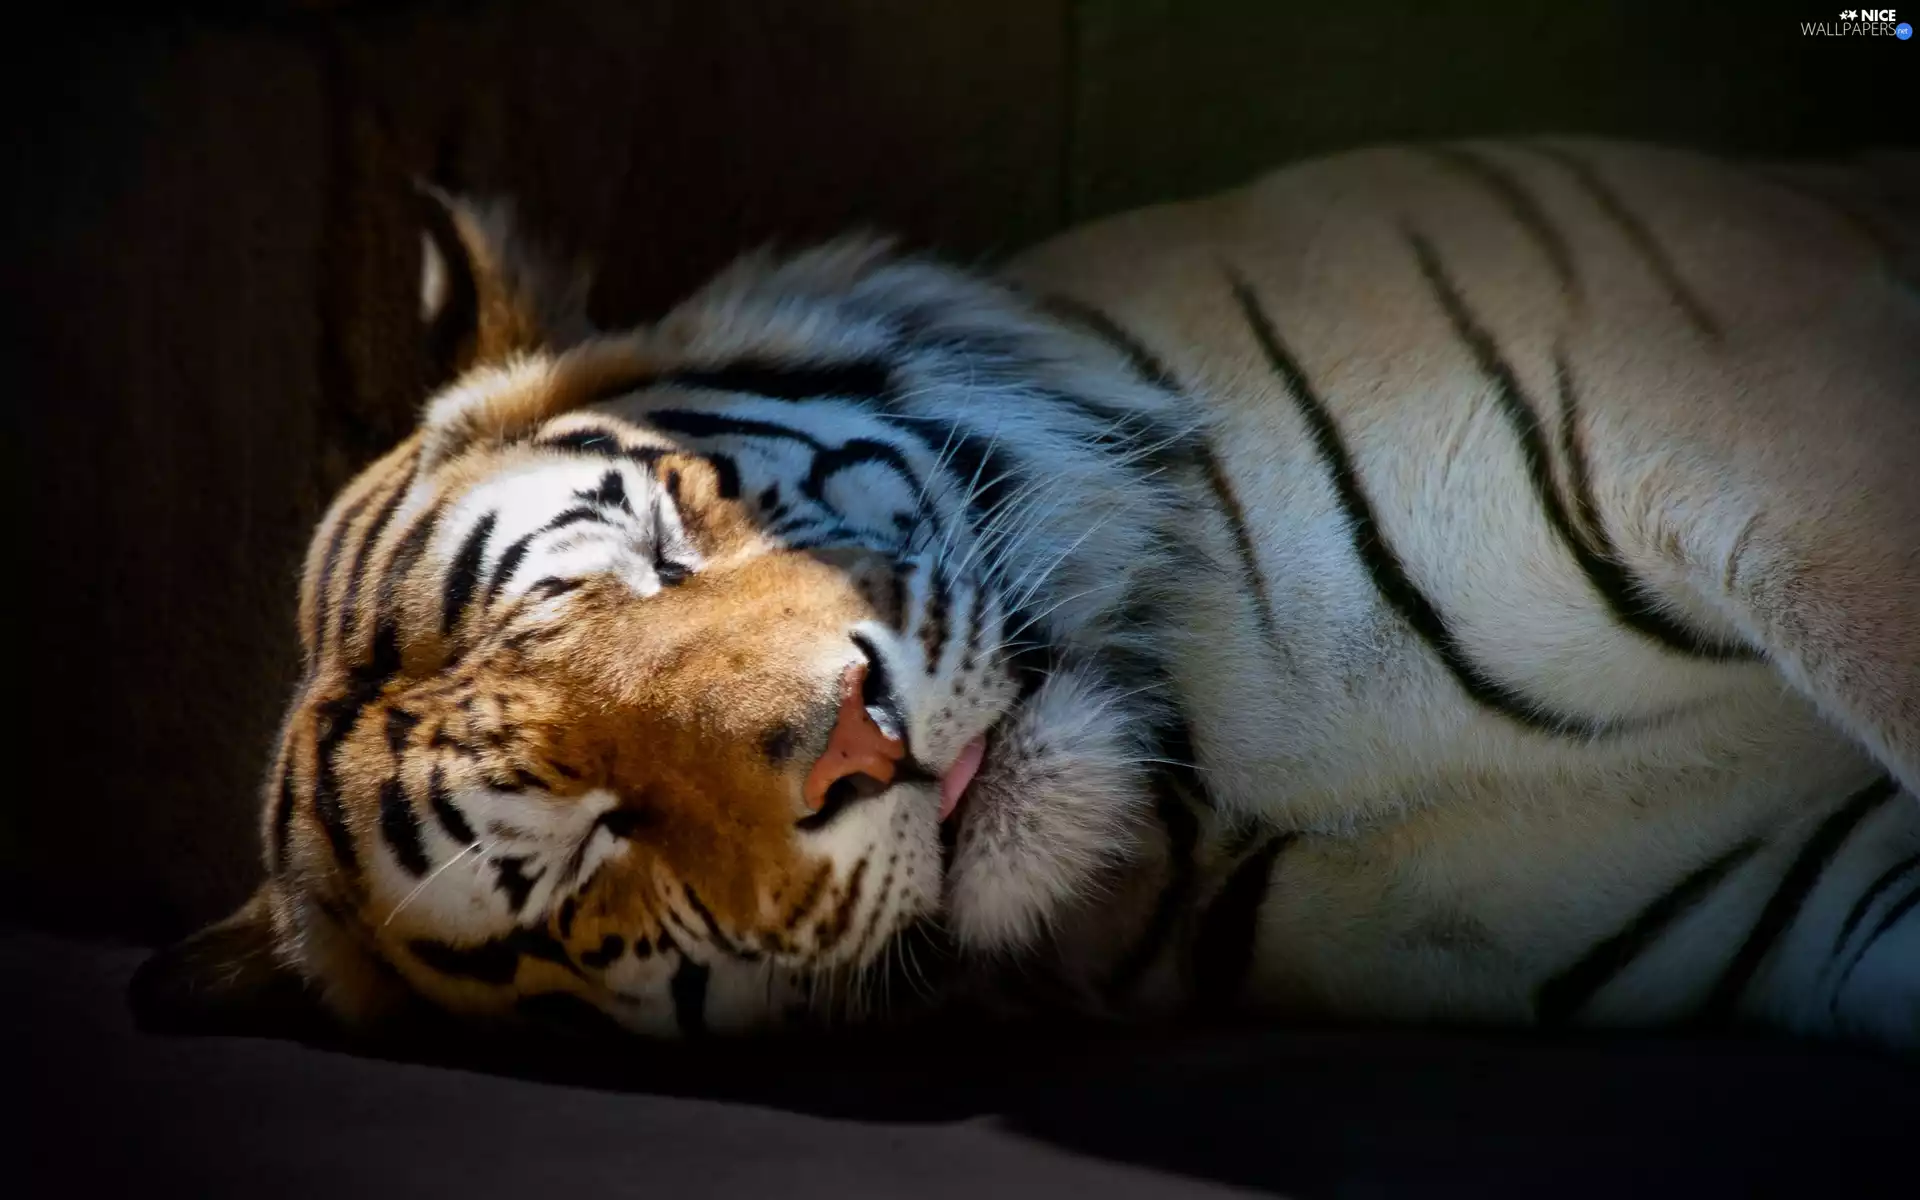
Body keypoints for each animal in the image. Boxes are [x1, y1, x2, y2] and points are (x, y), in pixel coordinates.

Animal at [133, 138, 1920, 1051]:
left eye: (659, 543)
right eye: (585, 845)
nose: (857, 741)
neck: (1232, 749)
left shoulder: (1774, 422)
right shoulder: (1797, 903)